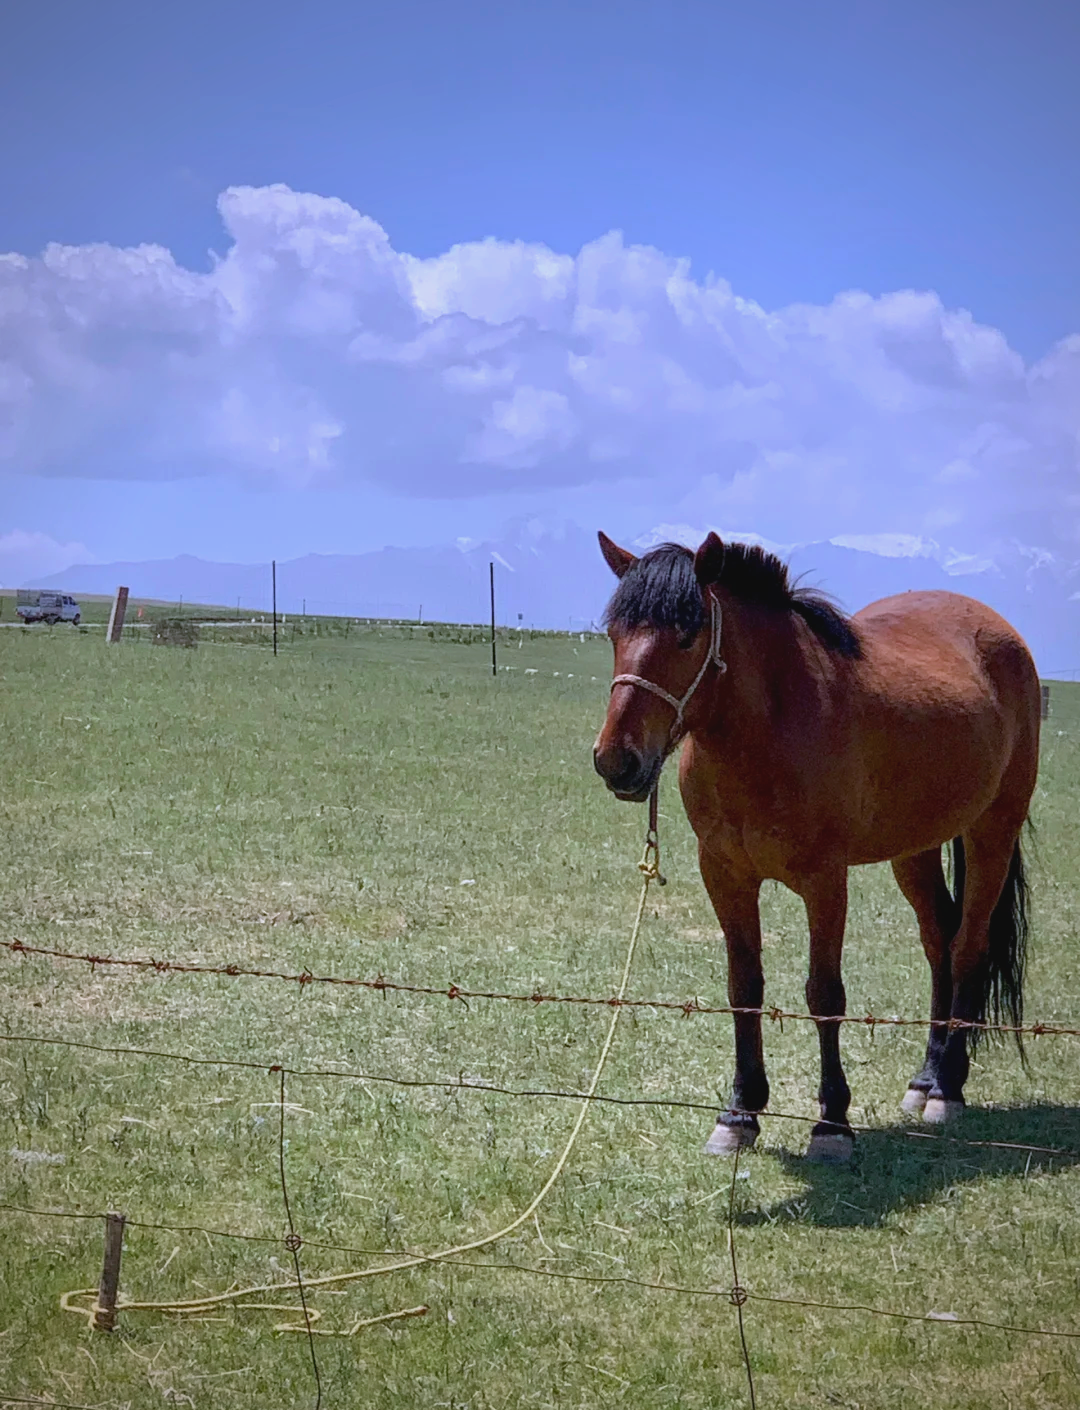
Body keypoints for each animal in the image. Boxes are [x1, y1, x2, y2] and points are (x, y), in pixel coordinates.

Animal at [592, 530, 1037, 1156]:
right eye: (614, 634)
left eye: (687, 635)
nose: (617, 760)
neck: (770, 729)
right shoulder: (724, 874)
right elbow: (744, 985)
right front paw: (739, 1113)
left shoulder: (826, 881)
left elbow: (824, 995)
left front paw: (832, 1123)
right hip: (915, 850)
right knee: (939, 941)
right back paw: (925, 1080)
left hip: (991, 831)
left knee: (968, 945)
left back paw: (948, 1089)